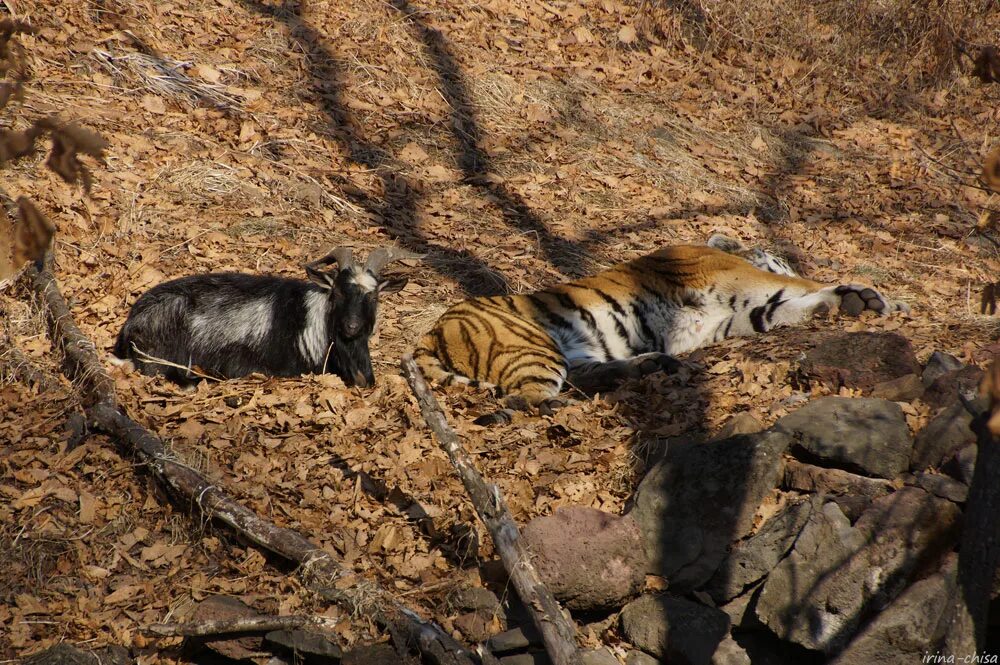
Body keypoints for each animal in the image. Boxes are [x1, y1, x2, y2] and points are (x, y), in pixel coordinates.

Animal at [410, 235, 912, 426]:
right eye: (783, 258)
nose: (785, 260)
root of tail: (429, 333)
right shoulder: (745, 280)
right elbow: (803, 287)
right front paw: (876, 298)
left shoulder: (717, 322)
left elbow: (782, 310)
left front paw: (851, 302)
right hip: (533, 344)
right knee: (523, 398)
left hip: (573, 350)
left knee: (582, 378)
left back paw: (651, 367)